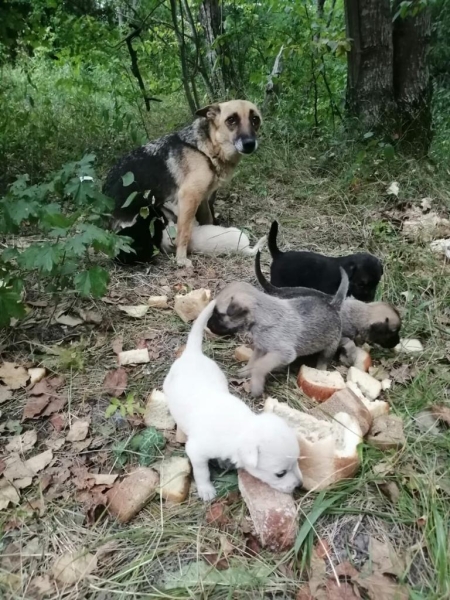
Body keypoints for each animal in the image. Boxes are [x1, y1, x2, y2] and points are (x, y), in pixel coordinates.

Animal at [163, 300, 302, 502]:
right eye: (280, 473)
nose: (299, 485)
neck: (240, 427)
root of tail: (192, 353)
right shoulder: (196, 451)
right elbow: (202, 472)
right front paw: (206, 490)